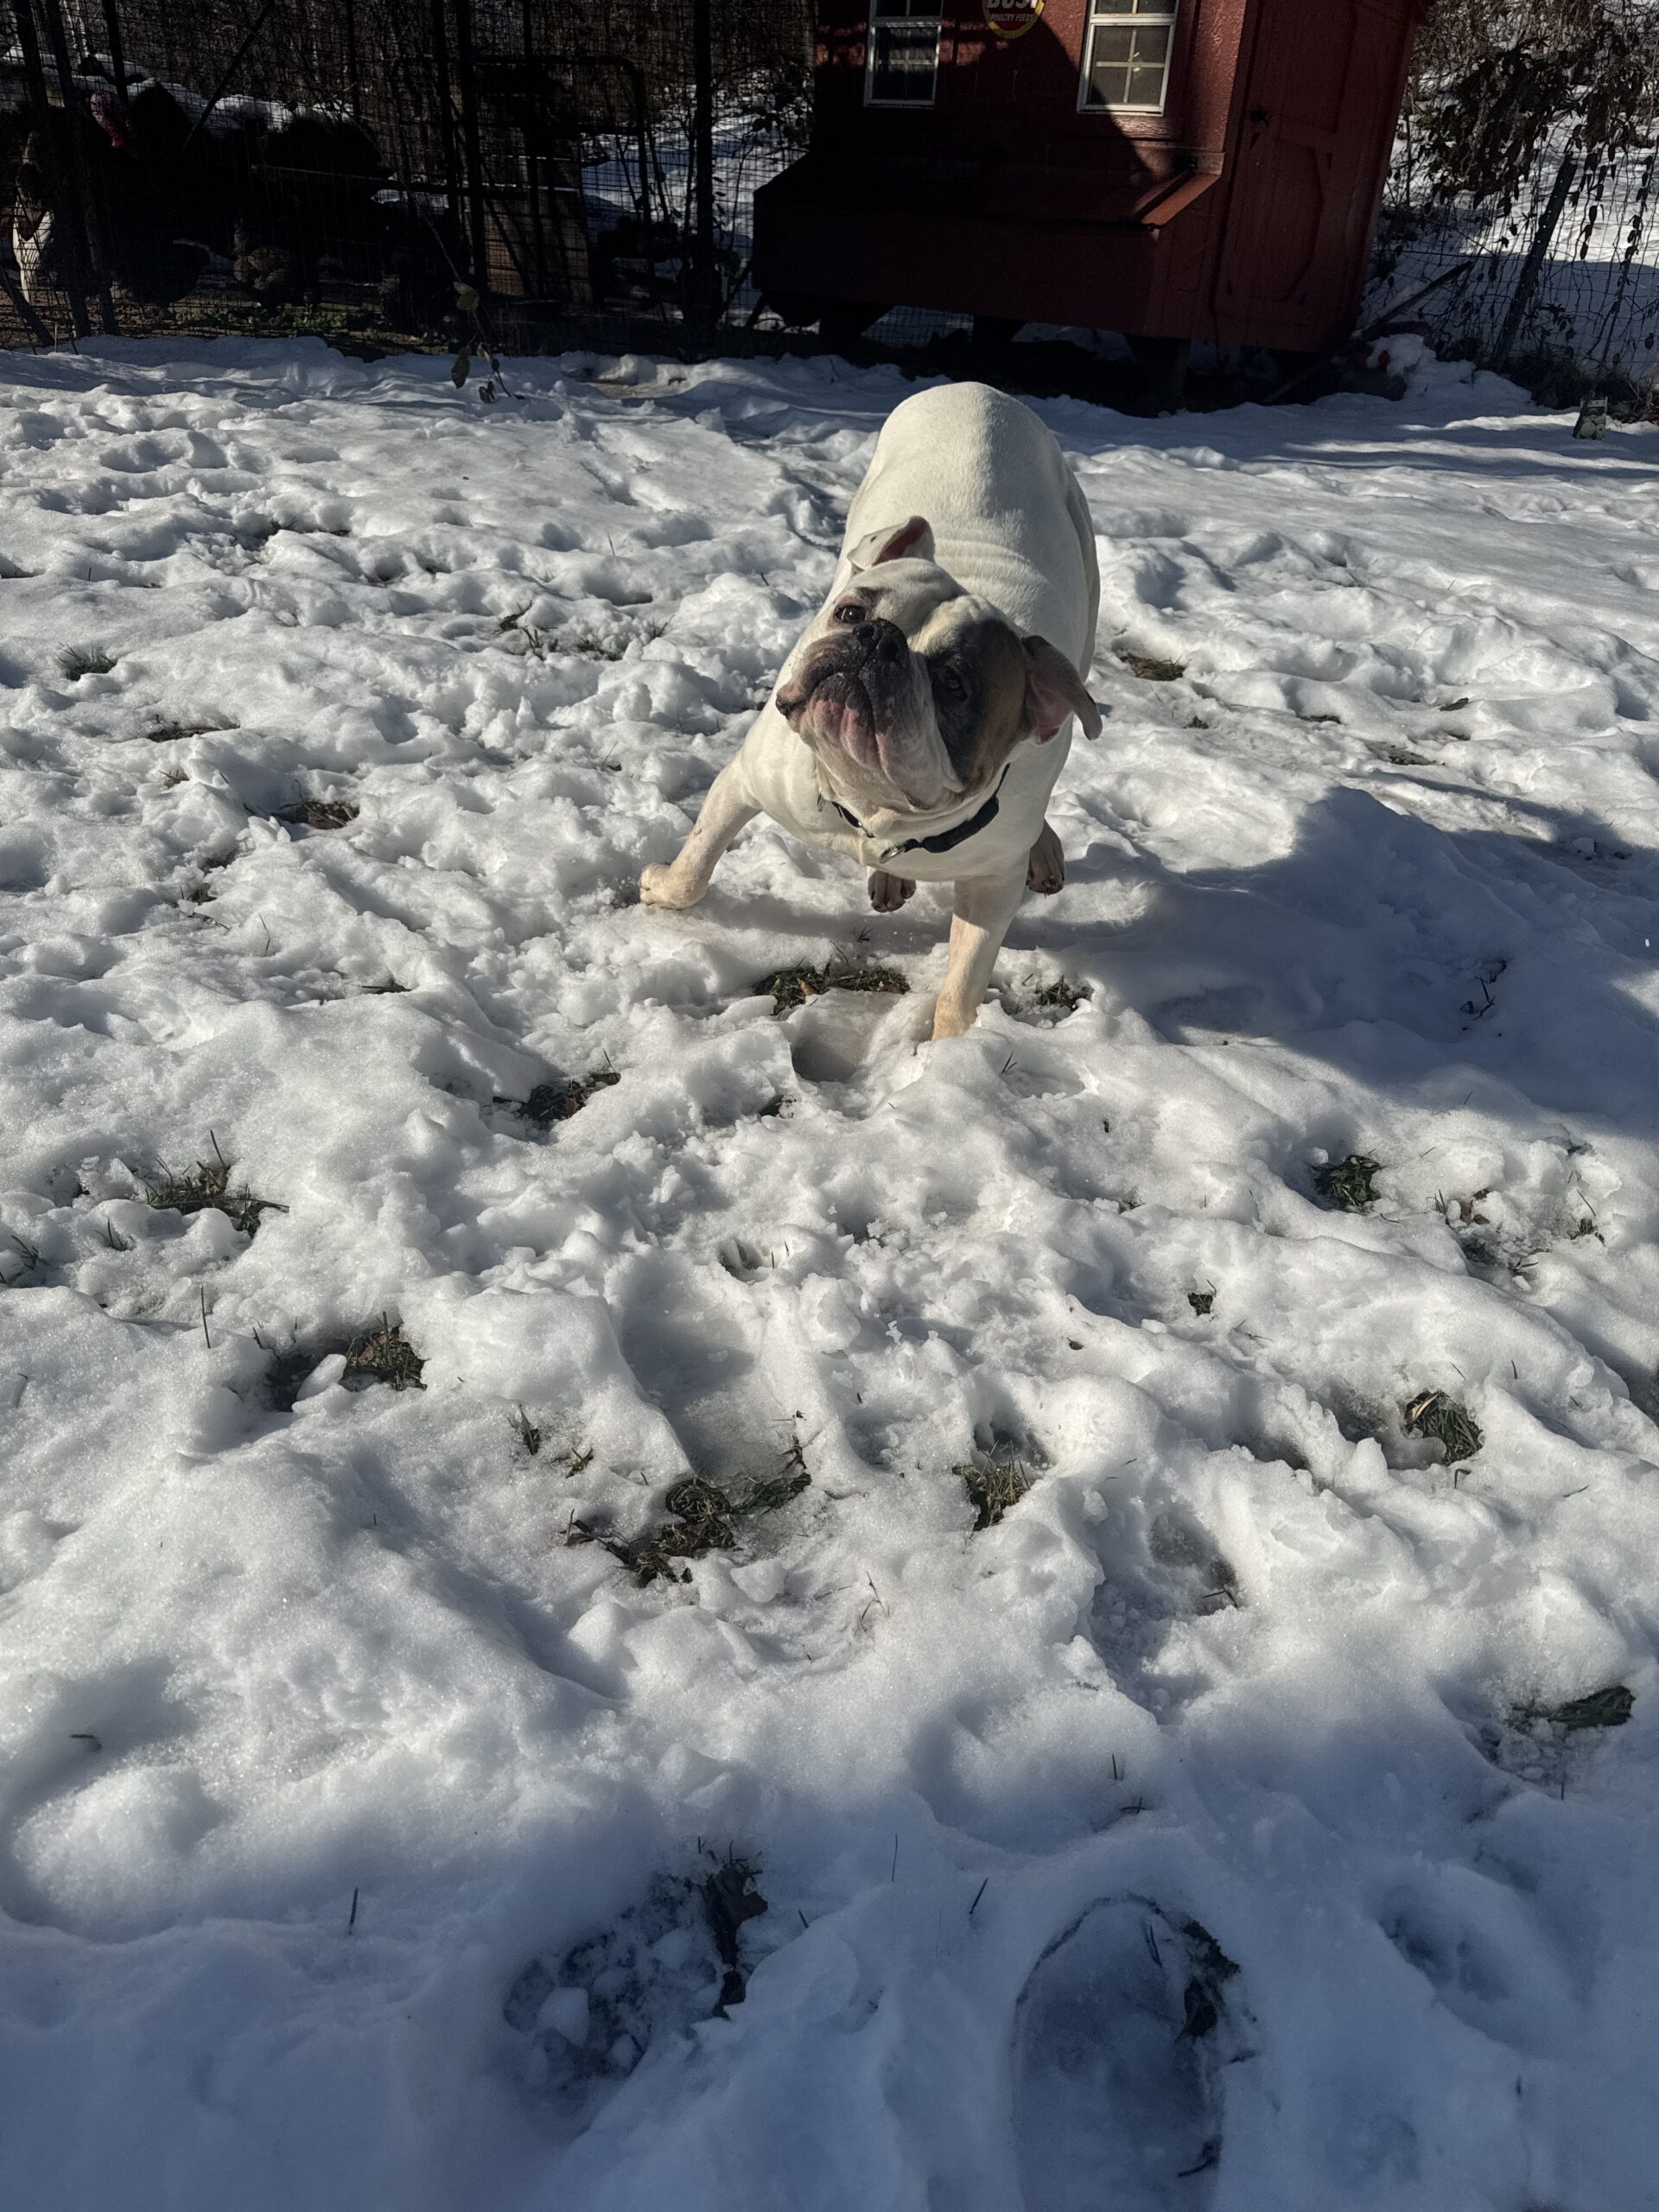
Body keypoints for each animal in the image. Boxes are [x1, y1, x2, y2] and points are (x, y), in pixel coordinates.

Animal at [640, 382, 1101, 1039]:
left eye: (955, 683)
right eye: (852, 612)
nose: (881, 640)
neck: (869, 807)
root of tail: (980, 390)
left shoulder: (991, 887)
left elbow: (962, 984)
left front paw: (952, 1051)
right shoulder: (743, 782)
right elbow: (695, 867)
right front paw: (661, 887)